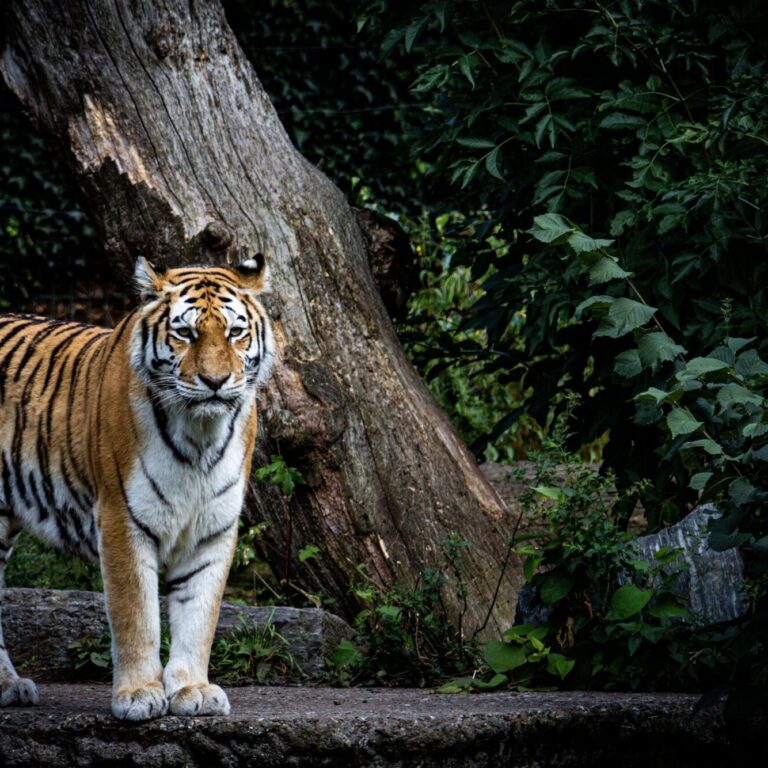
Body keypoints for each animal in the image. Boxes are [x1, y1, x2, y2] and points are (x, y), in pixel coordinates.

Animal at [0, 255, 275, 720]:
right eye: (186, 333)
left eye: (235, 333)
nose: (216, 380)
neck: (199, 436)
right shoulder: (122, 519)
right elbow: (136, 615)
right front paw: (139, 694)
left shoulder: (213, 529)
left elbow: (199, 615)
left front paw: (193, 689)